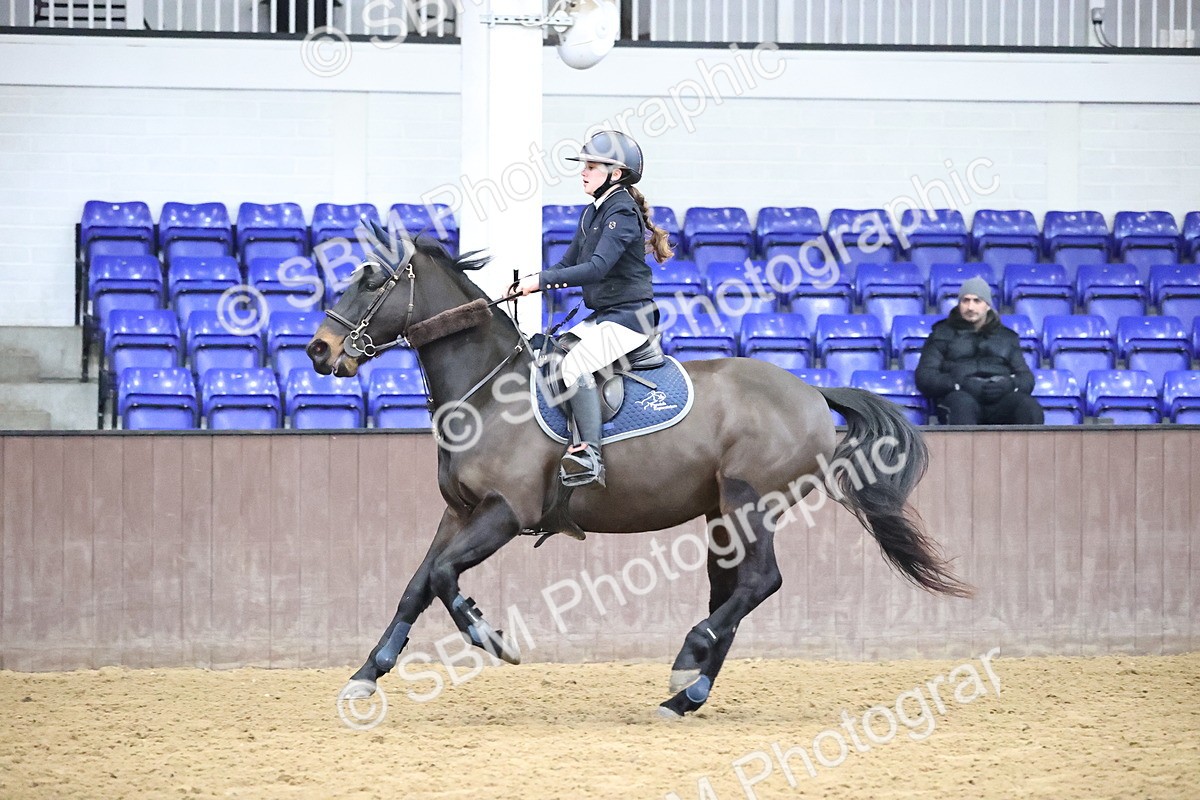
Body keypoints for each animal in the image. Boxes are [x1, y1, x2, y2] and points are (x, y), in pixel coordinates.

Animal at [306, 222, 971, 718]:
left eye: (371, 280)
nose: (319, 350)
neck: (490, 393)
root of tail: (810, 390)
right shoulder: (460, 512)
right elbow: (417, 584)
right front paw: (367, 673)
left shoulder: (505, 514)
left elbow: (445, 576)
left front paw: (489, 637)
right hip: (723, 518)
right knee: (736, 590)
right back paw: (689, 692)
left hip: (750, 501)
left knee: (761, 581)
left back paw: (687, 661)